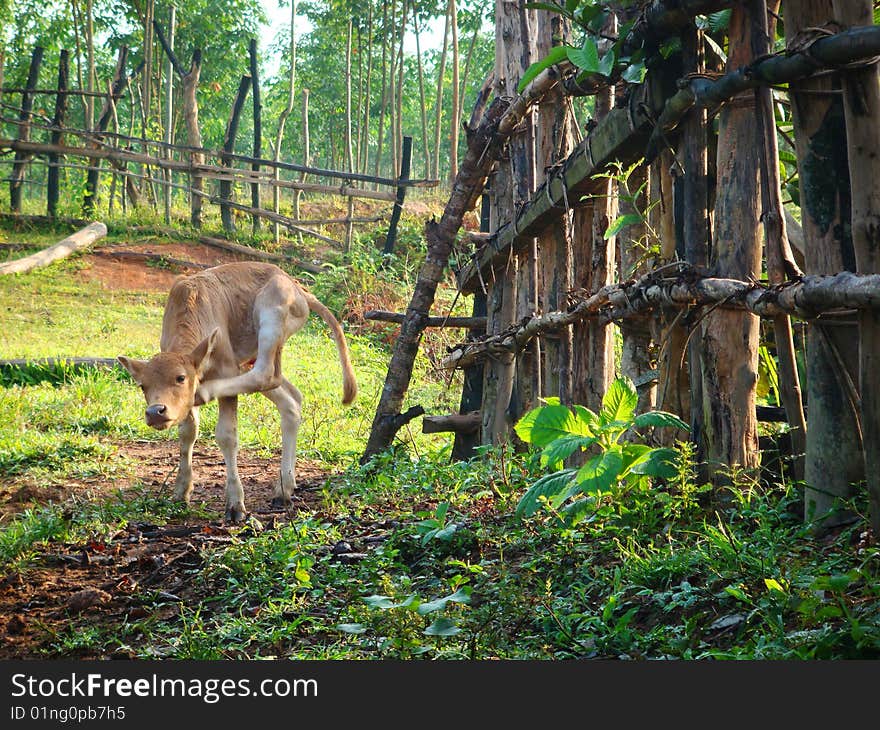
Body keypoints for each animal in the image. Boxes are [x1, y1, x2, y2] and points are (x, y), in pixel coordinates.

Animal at [117, 258, 358, 520]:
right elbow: (188, 432)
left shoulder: (226, 368)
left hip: (271, 310)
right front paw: (181, 490)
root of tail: (297, 287)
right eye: (143, 385)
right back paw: (285, 486)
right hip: (251, 358)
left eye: (181, 378)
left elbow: (227, 436)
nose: (155, 411)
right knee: (291, 398)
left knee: (266, 374)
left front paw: (235, 503)